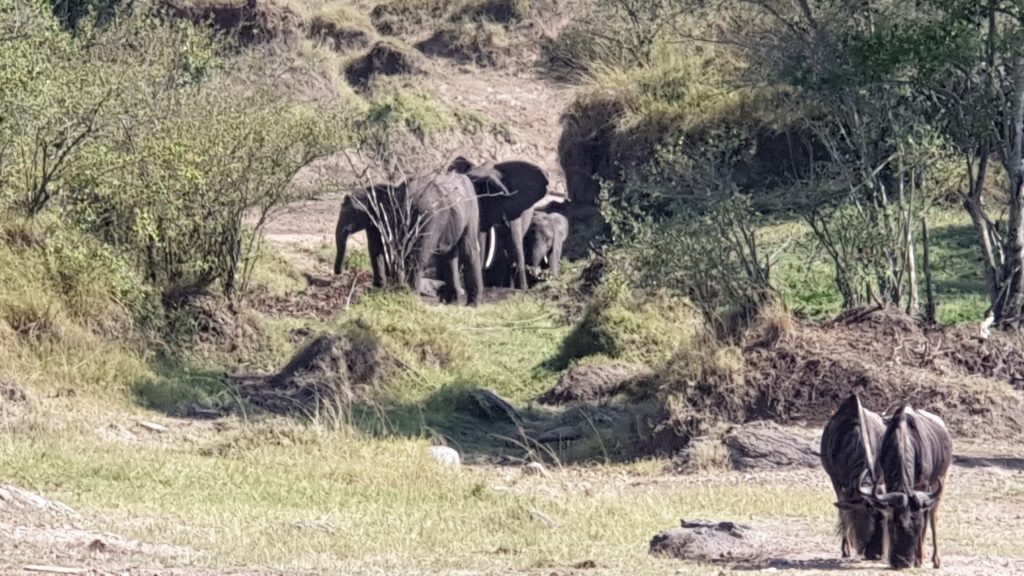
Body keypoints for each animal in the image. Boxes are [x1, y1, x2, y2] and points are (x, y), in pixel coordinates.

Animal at [331, 172, 483, 303]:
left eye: (353, 212)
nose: (340, 272)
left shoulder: (424, 218)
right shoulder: (376, 222)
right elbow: (375, 248)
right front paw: (378, 288)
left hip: (467, 209)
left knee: (466, 250)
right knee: (448, 255)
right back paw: (451, 300)